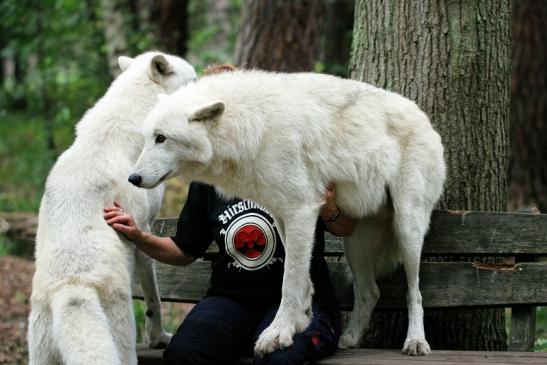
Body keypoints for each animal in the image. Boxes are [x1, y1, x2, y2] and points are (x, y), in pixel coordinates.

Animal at [131, 69, 448, 356]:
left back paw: (416, 341)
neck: (253, 127)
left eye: (162, 138)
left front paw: (278, 333)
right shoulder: (283, 215)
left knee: (414, 291)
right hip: (354, 245)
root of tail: (427, 122)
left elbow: (289, 280)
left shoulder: (301, 211)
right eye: (146, 138)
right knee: (371, 292)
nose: (132, 178)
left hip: (407, 228)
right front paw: (301, 319)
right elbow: (299, 277)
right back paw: (350, 338)